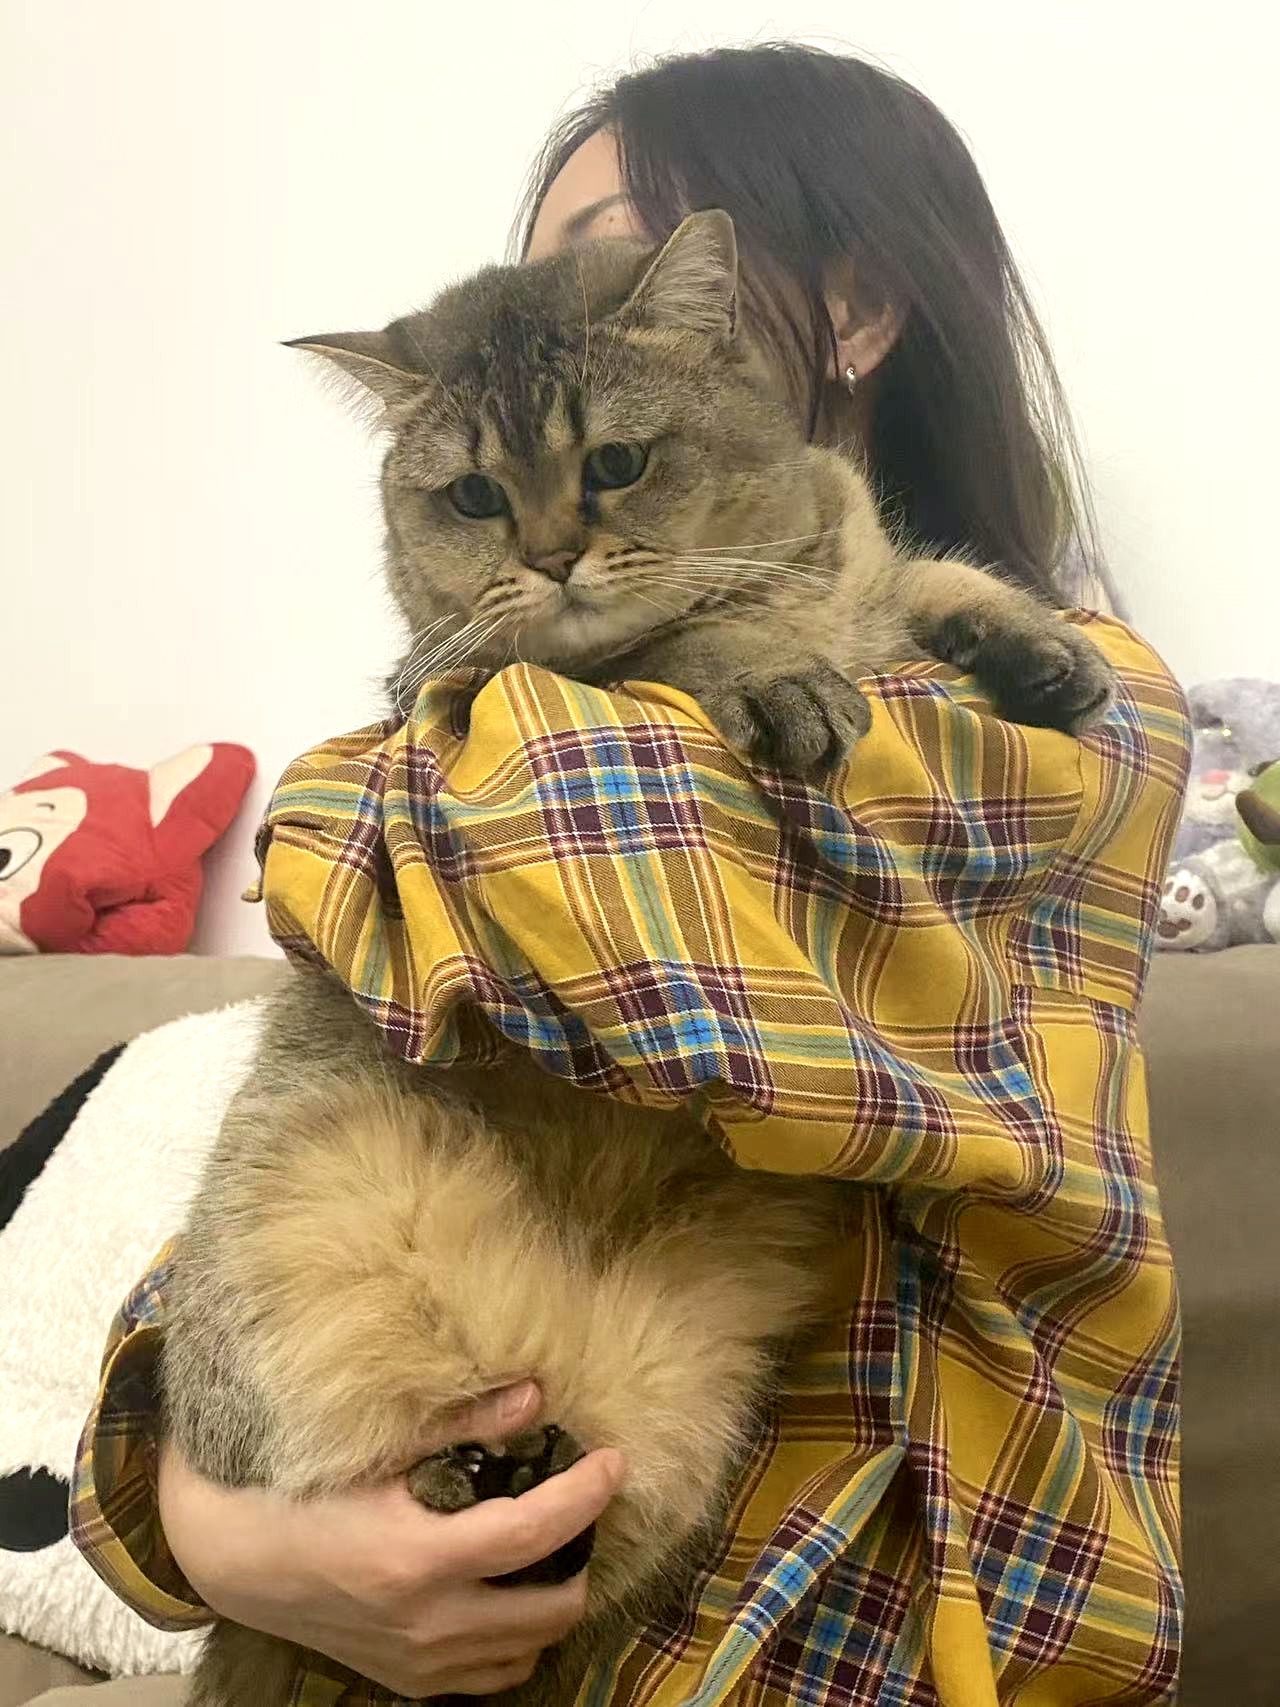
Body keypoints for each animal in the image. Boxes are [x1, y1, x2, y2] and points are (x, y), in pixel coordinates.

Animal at [164, 211, 1114, 1706]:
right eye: (475, 497)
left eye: (615, 462)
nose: (555, 555)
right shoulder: (487, 676)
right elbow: (679, 640)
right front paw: (772, 669)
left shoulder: (860, 547)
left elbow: (928, 570)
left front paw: (1034, 643)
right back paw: (470, 1470)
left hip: (684, 1400)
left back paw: (522, 1472)